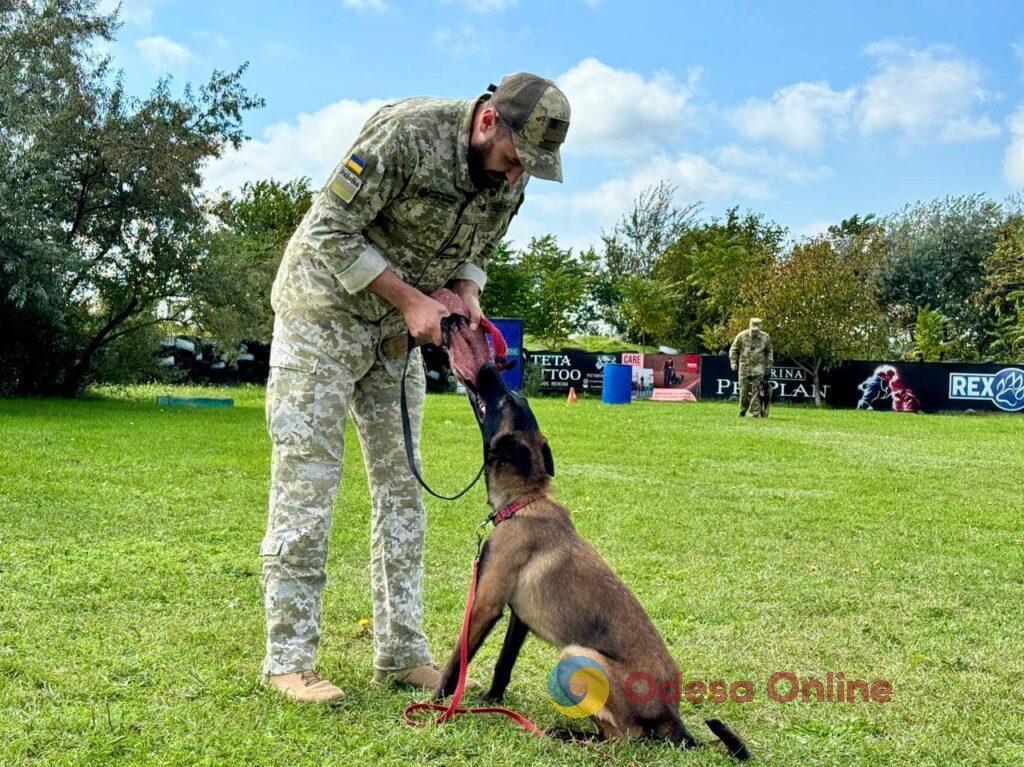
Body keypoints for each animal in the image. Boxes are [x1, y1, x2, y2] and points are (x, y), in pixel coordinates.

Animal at [432, 364, 753, 761]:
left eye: (504, 400)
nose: (490, 367)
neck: (524, 501)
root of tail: (673, 716)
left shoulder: (485, 605)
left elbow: (457, 660)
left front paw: (436, 703)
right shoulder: (519, 618)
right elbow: (503, 663)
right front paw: (493, 700)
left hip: (577, 655)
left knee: (624, 737)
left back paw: (567, 735)